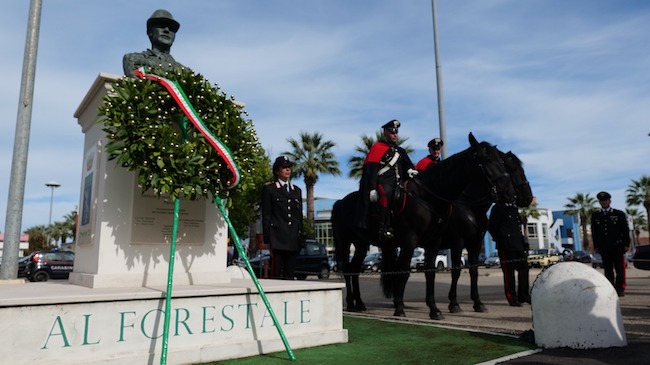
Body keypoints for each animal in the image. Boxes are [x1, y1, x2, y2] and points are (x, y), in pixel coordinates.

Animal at [332, 132, 512, 318]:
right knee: (347, 269)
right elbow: (405, 271)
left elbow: (434, 272)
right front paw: (400, 307)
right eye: (487, 161)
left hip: (361, 244)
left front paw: (435, 309)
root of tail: (340, 202)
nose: (509, 192)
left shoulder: (439, 242)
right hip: (345, 242)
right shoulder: (414, 241)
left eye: (501, 162)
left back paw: (359, 303)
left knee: (354, 269)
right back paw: (351, 303)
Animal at [440, 150, 532, 316]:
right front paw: (454, 303)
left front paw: (478, 303)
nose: (528, 197)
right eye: (512, 169)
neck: (469, 207)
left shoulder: (475, 243)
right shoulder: (457, 242)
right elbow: (456, 271)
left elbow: (474, 270)